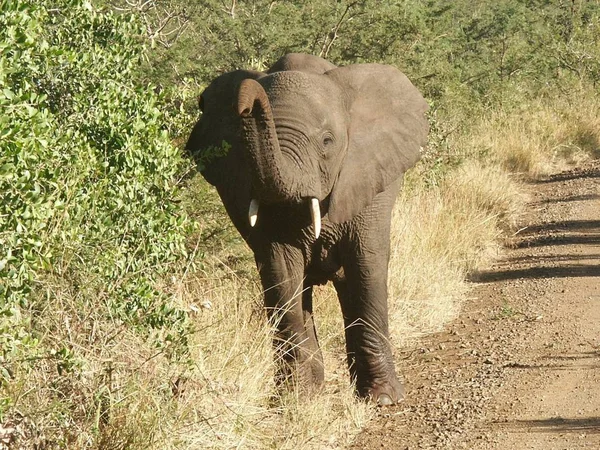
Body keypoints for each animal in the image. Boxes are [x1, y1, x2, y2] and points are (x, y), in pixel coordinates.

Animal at [185, 53, 428, 408]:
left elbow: (366, 265)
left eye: (327, 142)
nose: (246, 101)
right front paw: (296, 399)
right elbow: (282, 273)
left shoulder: (369, 177)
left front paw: (383, 399)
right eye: (243, 145)